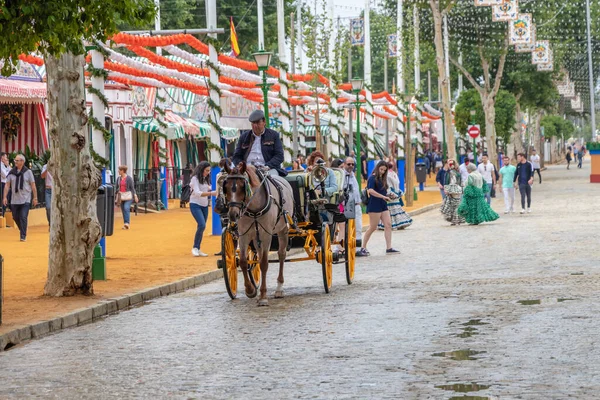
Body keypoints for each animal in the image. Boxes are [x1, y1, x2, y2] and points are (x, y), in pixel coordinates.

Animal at [220, 159, 296, 306]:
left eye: (242, 187)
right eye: (225, 187)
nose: (233, 215)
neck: (253, 207)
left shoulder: (267, 234)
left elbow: (264, 263)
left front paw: (263, 297)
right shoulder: (244, 234)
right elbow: (243, 261)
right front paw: (250, 290)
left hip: (282, 230)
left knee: (281, 255)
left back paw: (279, 288)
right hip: (256, 236)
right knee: (259, 257)